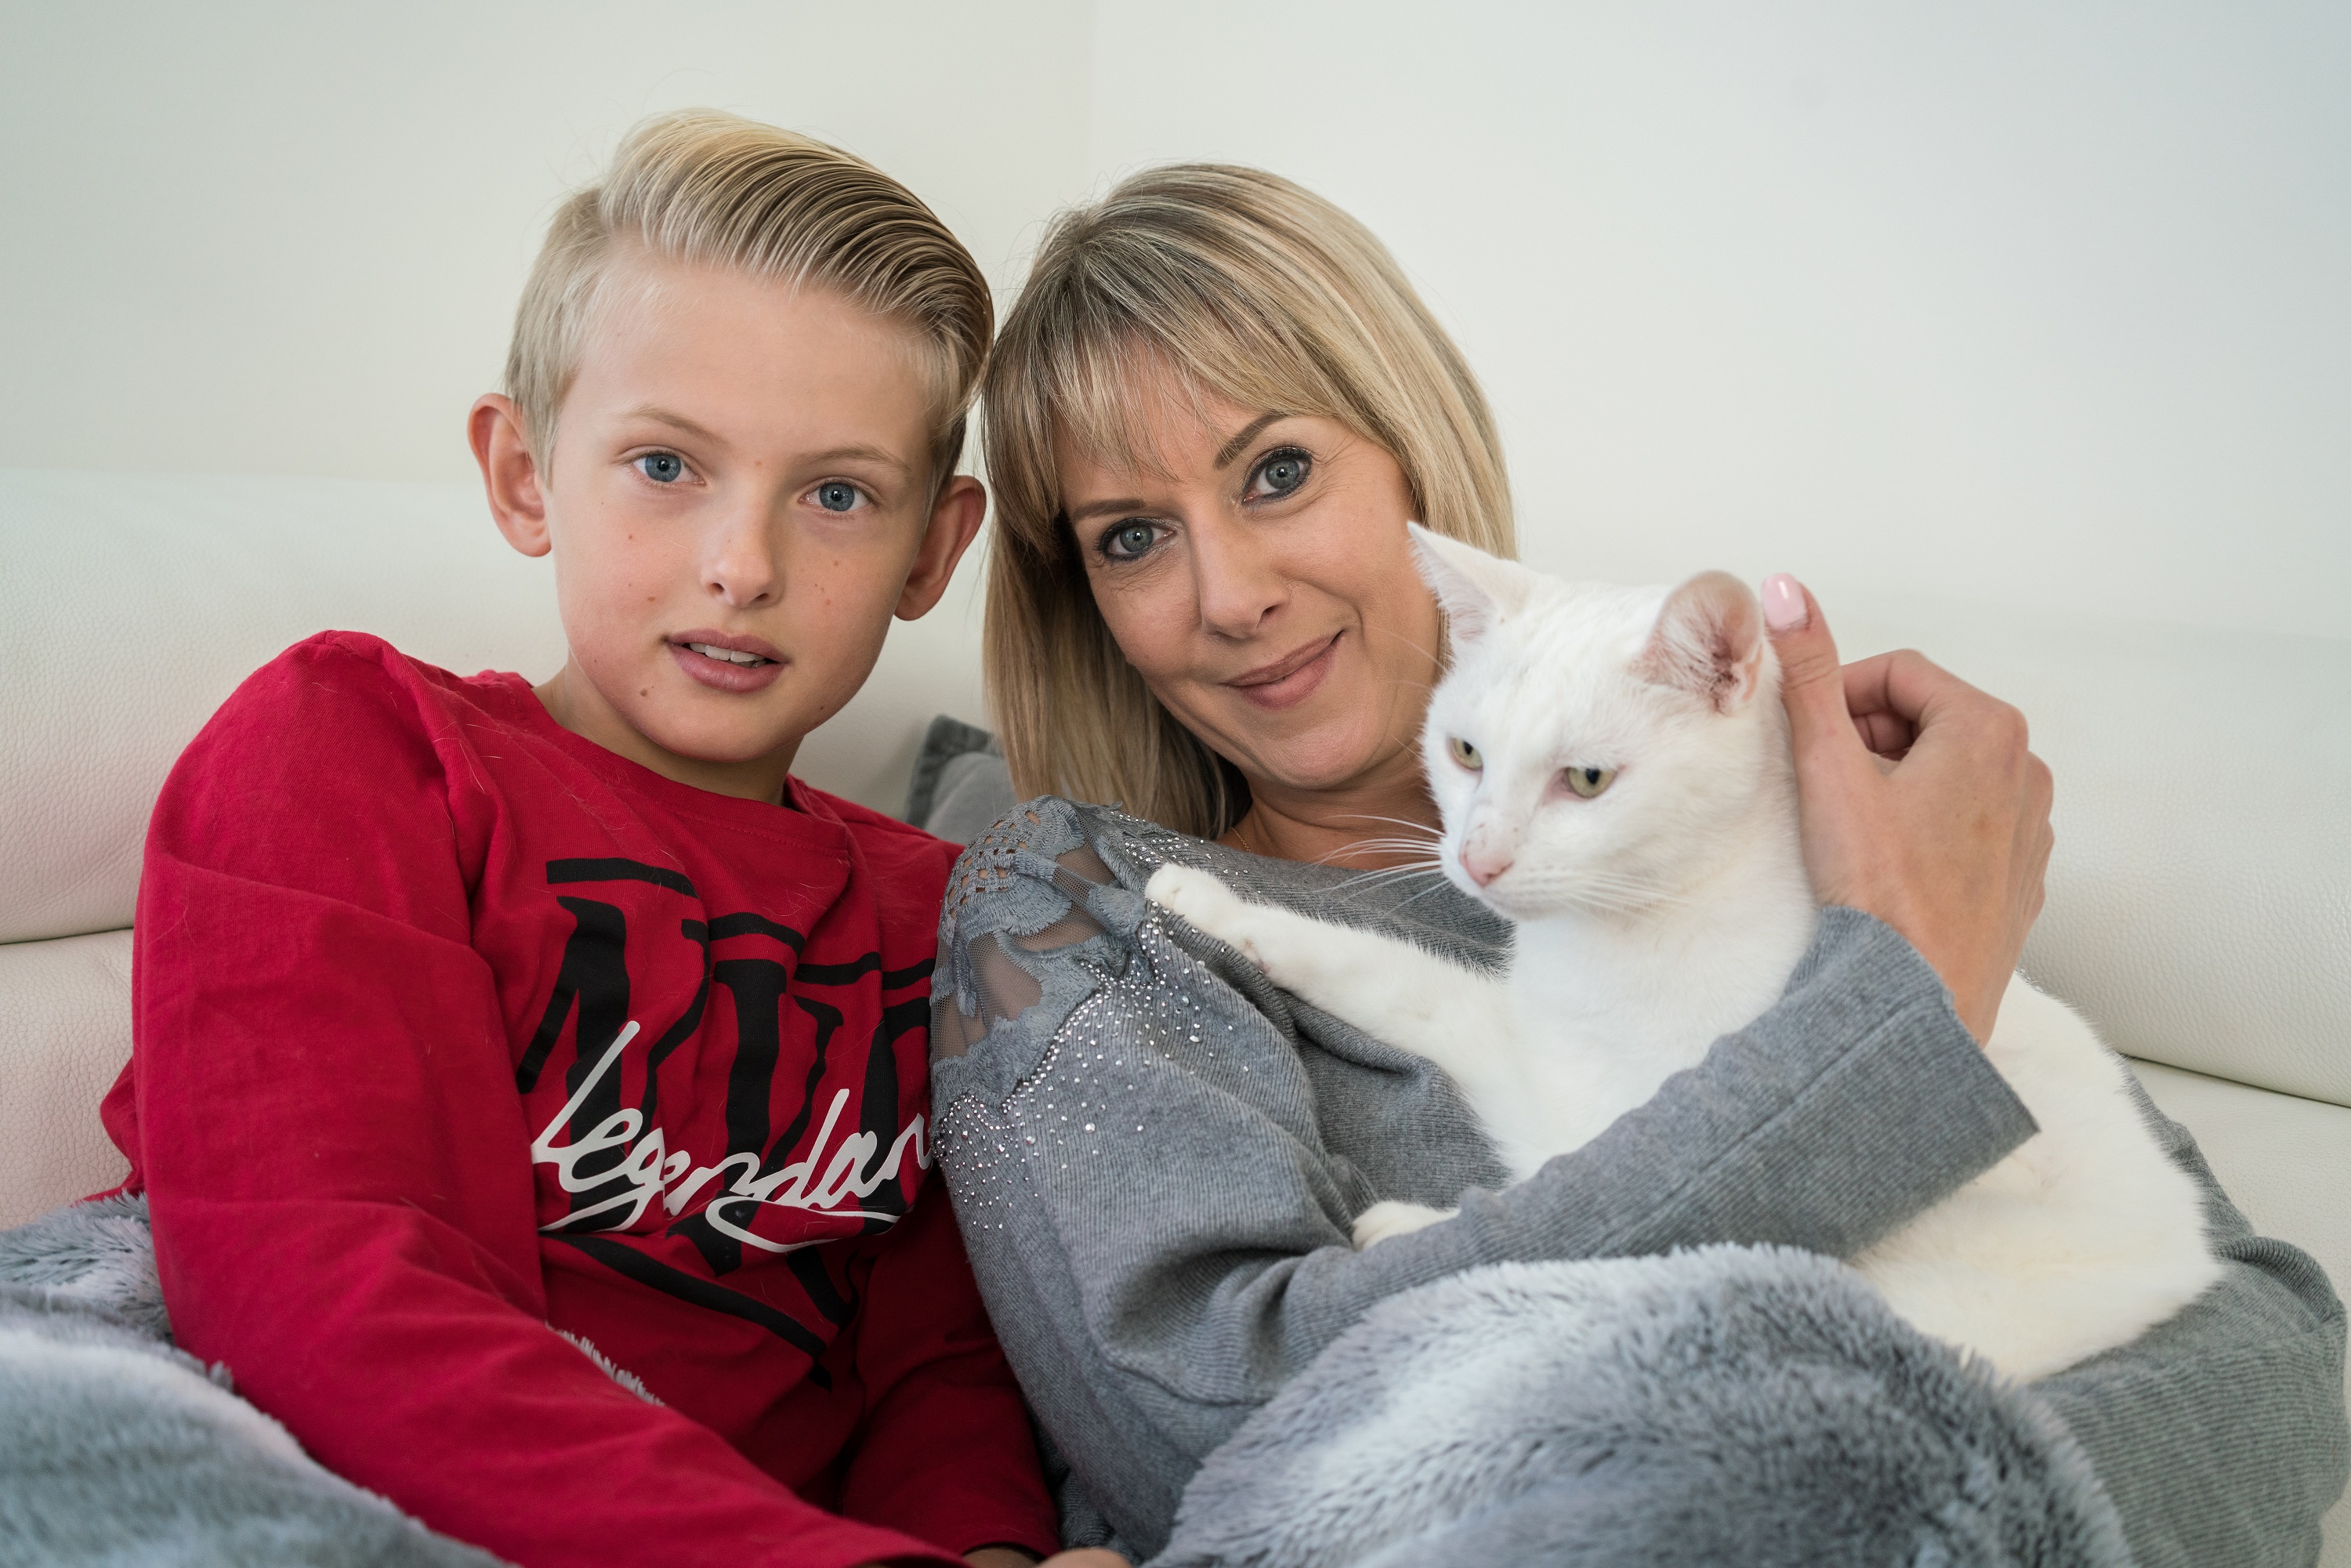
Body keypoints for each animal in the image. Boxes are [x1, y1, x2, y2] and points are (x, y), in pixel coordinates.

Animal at [1152, 531, 2219, 1382]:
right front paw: (1207, 903)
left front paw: (1423, 1229)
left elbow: (1586, 1214)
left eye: (1587, 780)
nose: (1478, 858)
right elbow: (1385, 973)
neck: (1630, 932)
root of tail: (2187, 1257)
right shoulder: (1522, 1043)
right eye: (1466, 753)